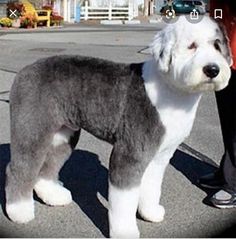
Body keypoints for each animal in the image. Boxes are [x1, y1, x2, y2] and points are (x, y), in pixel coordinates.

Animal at [4, 16, 231, 237]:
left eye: (217, 45)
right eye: (192, 46)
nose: (212, 69)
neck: (170, 89)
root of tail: (24, 71)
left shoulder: (160, 155)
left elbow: (152, 185)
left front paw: (150, 213)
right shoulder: (130, 153)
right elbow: (124, 200)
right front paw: (125, 231)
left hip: (63, 135)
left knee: (47, 165)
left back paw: (54, 195)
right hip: (32, 127)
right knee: (18, 168)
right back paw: (19, 211)